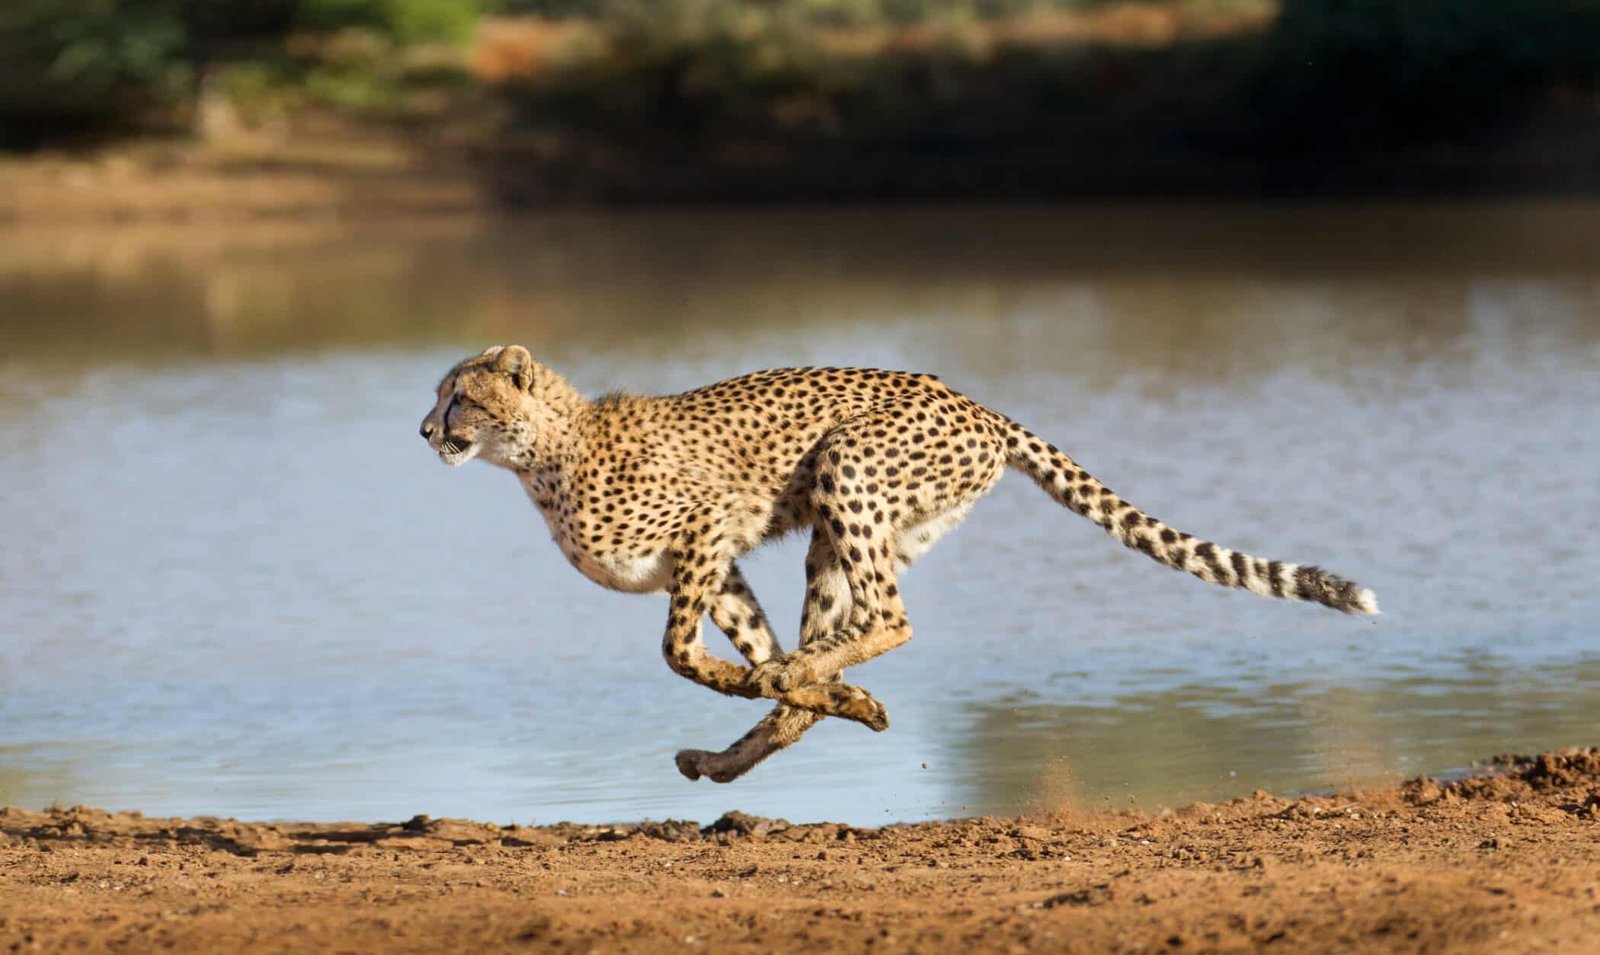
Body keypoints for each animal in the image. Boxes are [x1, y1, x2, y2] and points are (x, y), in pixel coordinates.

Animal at [419, 345, 1378, 783]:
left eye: (460, 396)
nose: (426, 430)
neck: (540, 454)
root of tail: (974, 401)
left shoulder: (707, 526)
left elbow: (680, 651)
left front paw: (767, 682)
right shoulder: (717, 560)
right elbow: (751, 649)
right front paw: (813, 695)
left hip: (847, 467)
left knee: (891, 617)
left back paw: (797, 690)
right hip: (850, 529)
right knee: (852, 628)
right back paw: (764, 734)